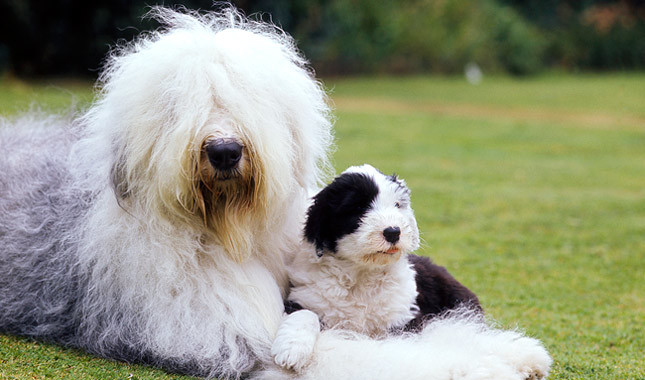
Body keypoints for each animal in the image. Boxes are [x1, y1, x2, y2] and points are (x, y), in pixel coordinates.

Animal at [0, 5, 552, 380]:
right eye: (180, 104)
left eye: (247, 98)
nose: (224, 151)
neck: (228, 227)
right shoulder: (237, 334)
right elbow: (363, 353)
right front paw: (485, 365)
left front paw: (516, 351)